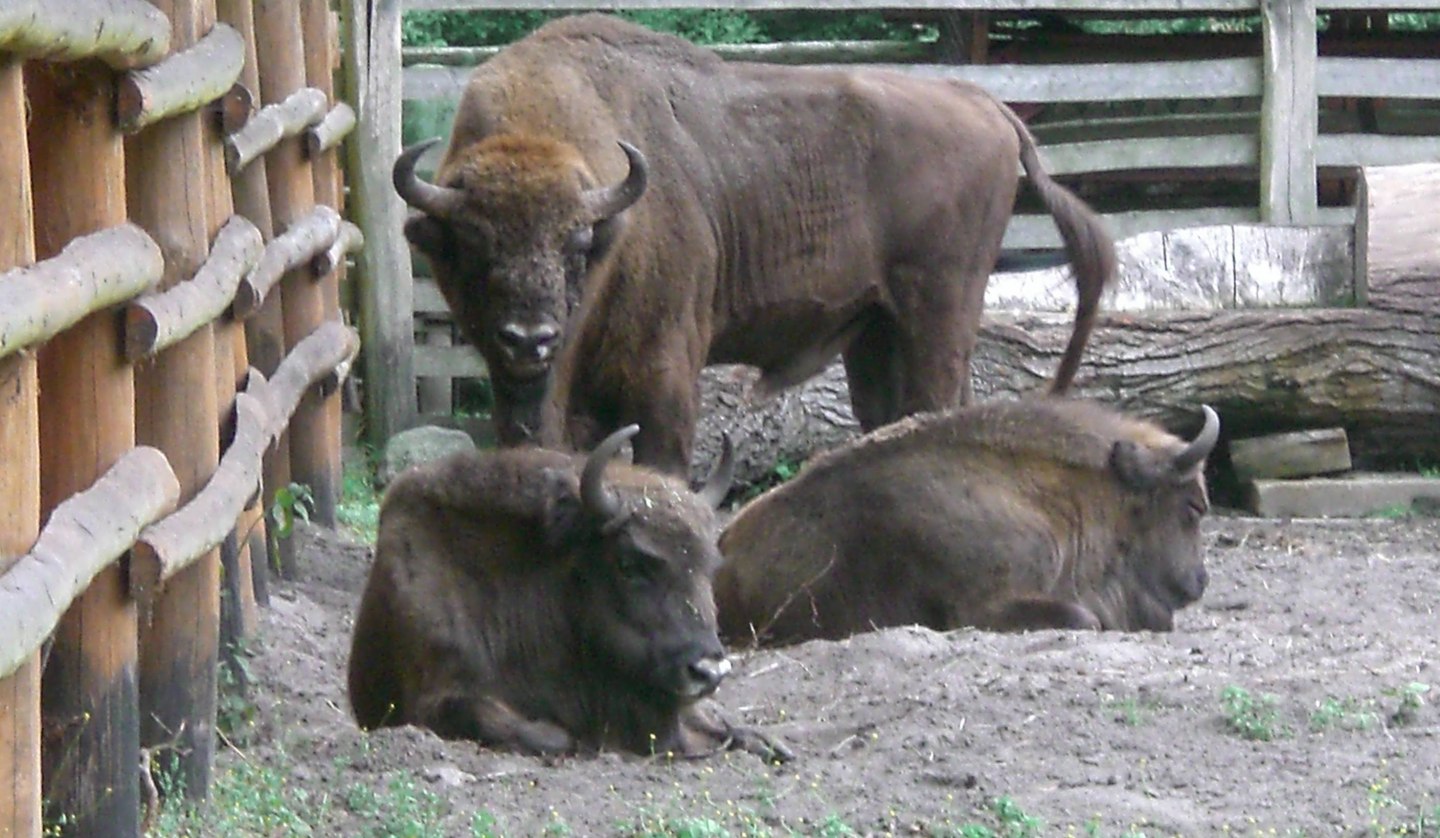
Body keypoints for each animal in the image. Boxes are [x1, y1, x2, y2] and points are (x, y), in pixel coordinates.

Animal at [400, 13, 1117, 475]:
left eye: (578, 242)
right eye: (470, 243)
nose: (529, 339)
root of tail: (985, 104)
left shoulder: (665, 373)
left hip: (941, 311)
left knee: (937, 402)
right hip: (876, 329)